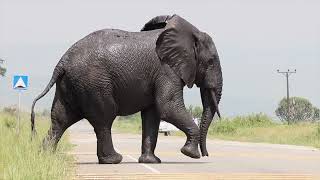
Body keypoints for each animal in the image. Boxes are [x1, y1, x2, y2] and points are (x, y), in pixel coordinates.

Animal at [31, 14, 222, 164]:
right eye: (211, 61)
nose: (205, 154)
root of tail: (62, 61)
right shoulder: (166, 70)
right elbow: (168, 107)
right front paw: (190, 154)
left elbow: (152, 114)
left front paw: (151, 161)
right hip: (94, 83)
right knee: (104, 119)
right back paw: (113, 160)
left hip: (70, 84)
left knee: (60, 119)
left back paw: (44, 157)